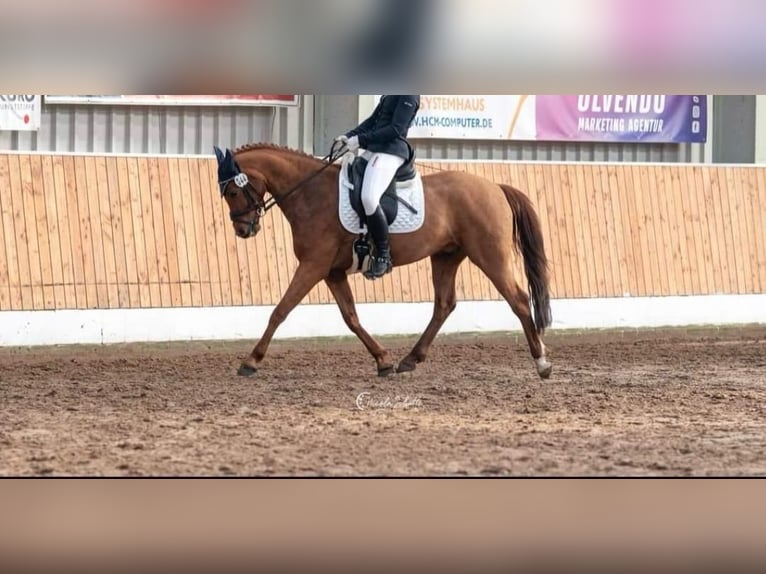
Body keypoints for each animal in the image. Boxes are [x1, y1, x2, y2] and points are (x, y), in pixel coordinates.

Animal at [213, 142, 556, 380]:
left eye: (232, 192)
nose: (243, 230)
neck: (311, 193)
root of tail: (495, 187)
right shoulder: (332, 272)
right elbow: (351, 318)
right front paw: (383, 361)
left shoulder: (313, 266)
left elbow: (280, 311)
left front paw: (251, 361)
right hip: (445, 257)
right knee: (444, 305)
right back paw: (409, 360)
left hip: (489, 255)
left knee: (518, 300)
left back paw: (542, 362)